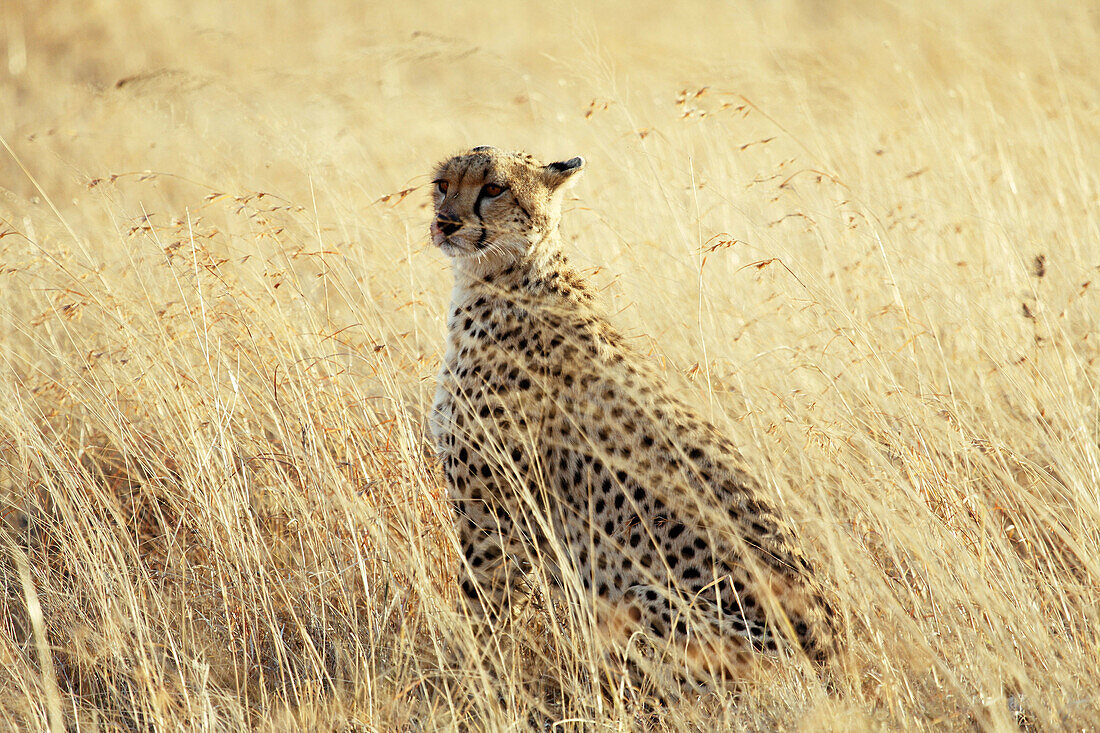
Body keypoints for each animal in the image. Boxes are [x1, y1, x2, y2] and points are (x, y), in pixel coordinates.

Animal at [426, 144, 831, 686]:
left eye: (494, 188)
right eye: (443, 184)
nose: (445, 222)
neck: (503, 276)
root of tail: (833, 659)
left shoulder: (495, 516)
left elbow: (481, 612)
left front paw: (467, 679)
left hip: (642, 599)